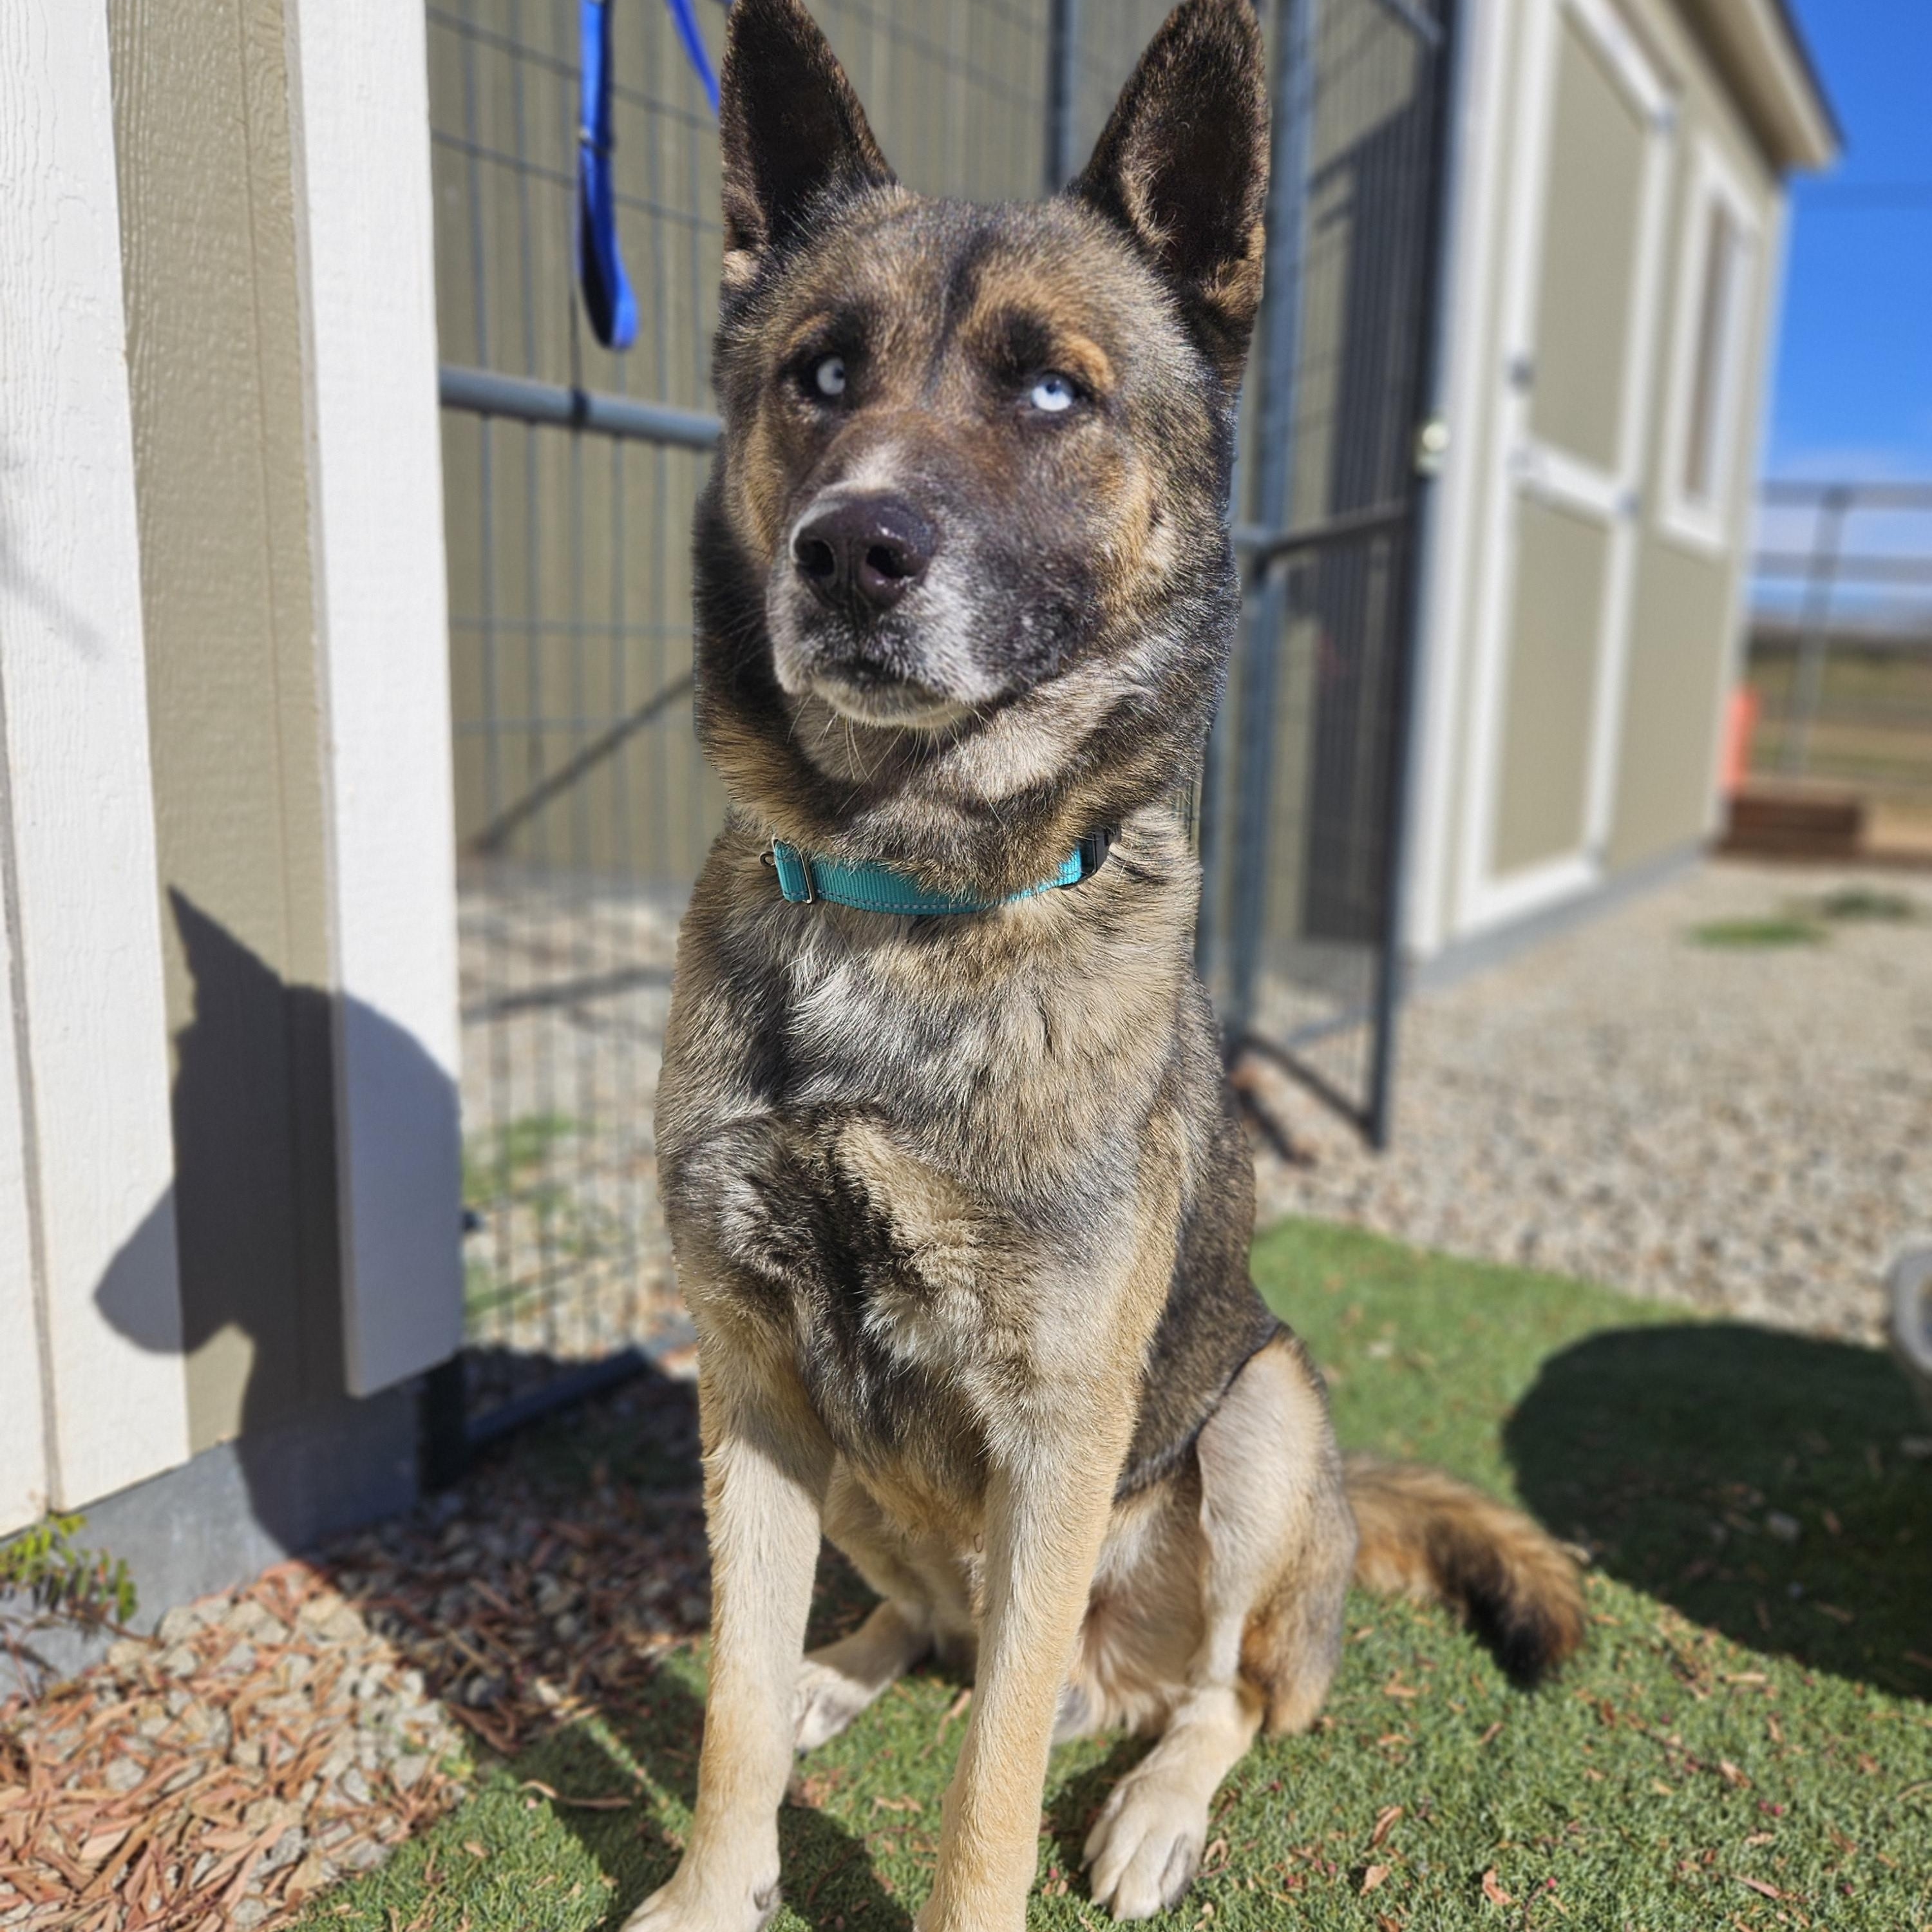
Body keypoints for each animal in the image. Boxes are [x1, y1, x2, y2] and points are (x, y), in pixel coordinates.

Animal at [635, 2, 1585, 1927]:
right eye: (819, 377)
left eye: (1052, 391)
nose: (848, 552)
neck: (909, 905)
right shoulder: (752, 1382)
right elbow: (730, 1712)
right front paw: (715, 1886)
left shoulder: (1061, 1439)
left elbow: (990, 1782)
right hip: (867, 1469)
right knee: (926, 1624)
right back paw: (854, 1665)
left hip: (1262, 1423)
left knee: (1225, 1695)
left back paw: (1154, 1800)